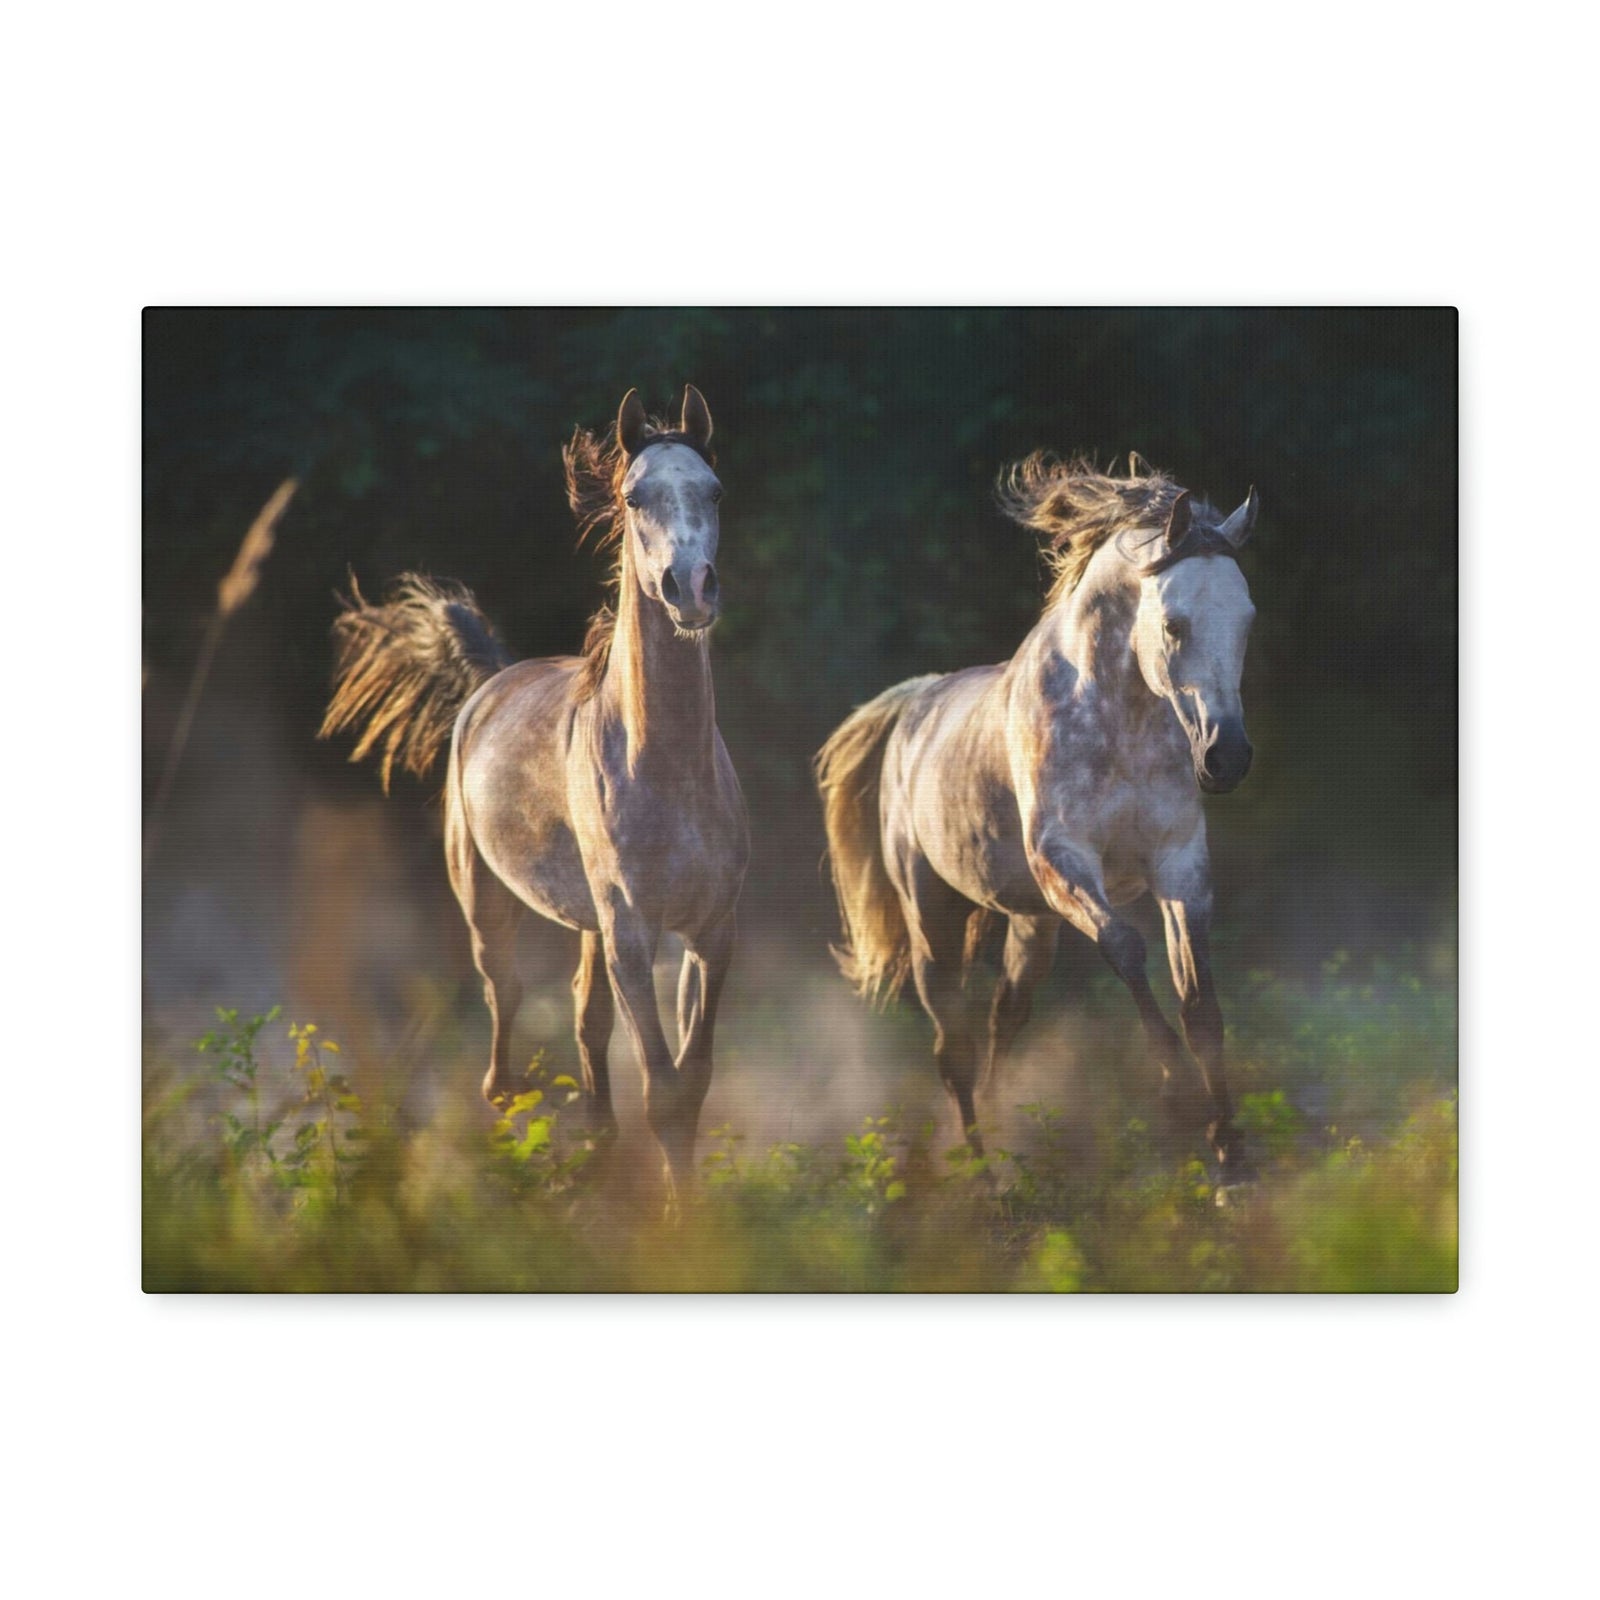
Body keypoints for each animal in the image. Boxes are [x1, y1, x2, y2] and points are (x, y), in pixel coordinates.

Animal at [320, 386, 750, 1193]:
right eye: (634, 496)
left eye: (715, 490)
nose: (691, 589)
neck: (667, 767)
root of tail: (491, 681)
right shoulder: (632, 934)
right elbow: (663, 1089)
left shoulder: (710, 931)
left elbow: (693, 1079)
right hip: (488, 901)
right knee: (505, 1012)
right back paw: (520, 1123)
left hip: (588, 924)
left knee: (585, 1017)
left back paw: (594, 1142)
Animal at [816, 453, 1259, 1178]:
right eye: (1173, 624)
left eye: (1247, 620)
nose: (1228, 758)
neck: (1119, 720)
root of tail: (915, 705)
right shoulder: (1065, 861)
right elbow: (1126, 947)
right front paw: (1177, 1093)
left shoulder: (1180, 866)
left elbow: (1201, 1002)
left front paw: (1231, 1155)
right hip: (933, 920)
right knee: (953, 1046)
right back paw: (983, 1172)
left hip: (1031, 922)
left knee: (1006, 1016)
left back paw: (1000, 1131)